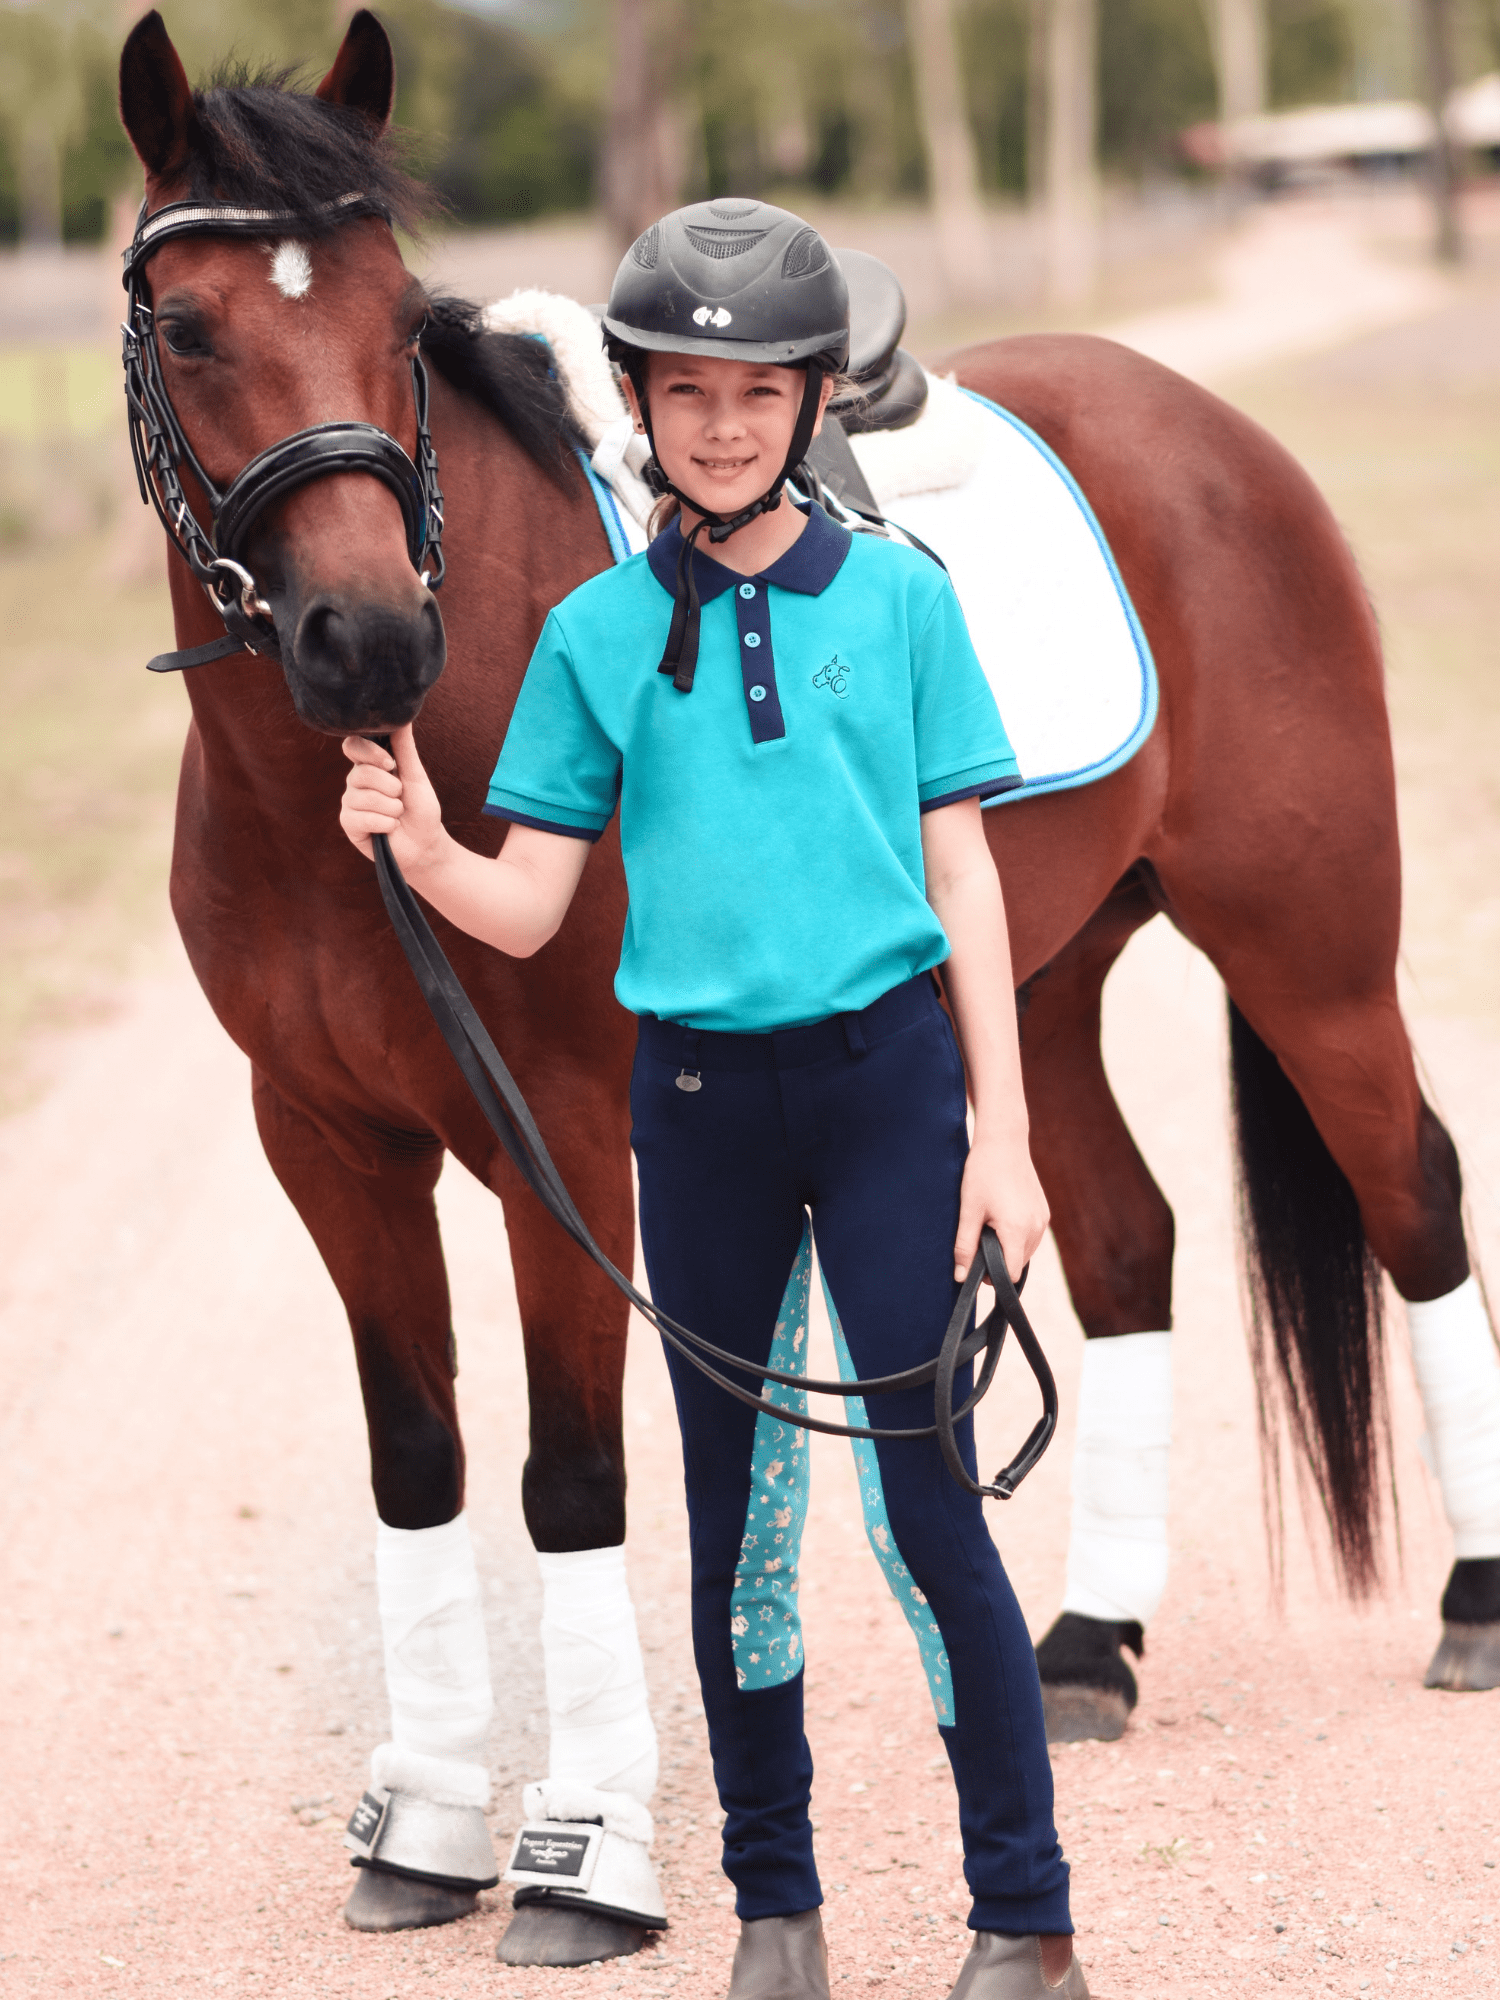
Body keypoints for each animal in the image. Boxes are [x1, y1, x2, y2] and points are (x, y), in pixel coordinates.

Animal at [120, 0, 1500, 1960]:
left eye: (398, 320)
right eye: (187, 324)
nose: (368, 640)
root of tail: (1209, 429)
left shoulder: (568, 1145)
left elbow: (570, 1474)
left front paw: (586, 1855)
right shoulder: (326, 1146)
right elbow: (421, 1464)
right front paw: (427, 1829)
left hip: (1311, 955)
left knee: (1415, 1199)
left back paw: (1470, 1602)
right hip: (1038, 990)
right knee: (1125, 1244)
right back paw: (1091, 1646)